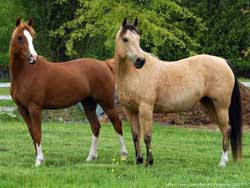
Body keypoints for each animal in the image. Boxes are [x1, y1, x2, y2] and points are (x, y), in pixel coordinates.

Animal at [9, 18, 127, 166]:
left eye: (32, 37)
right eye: (20, 37)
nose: (33, 57)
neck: (26, 74)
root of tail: (105, 64)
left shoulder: (34, 108)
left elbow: (37, 133)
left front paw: (39, 161)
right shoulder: (23, 109)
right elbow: (32, 133)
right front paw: (39, 159)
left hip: (106, 103)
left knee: (117, 123)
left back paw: (123, 155)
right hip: (88, 103)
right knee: (95, 126)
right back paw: (90, 157)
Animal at [115, 18, 242, 166]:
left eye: (139, 39)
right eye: (125, 39)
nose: (140, 61)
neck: (134, 74)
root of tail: (224, 61)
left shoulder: (146, 109)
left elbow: (147, 136)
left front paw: (149, 162)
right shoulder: (129, 111)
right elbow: (135, 136)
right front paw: (139, 161)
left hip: (221, 106)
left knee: (226, 129)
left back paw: (222, 163)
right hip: (210, 105)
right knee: (224, 129)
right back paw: (225, 159)